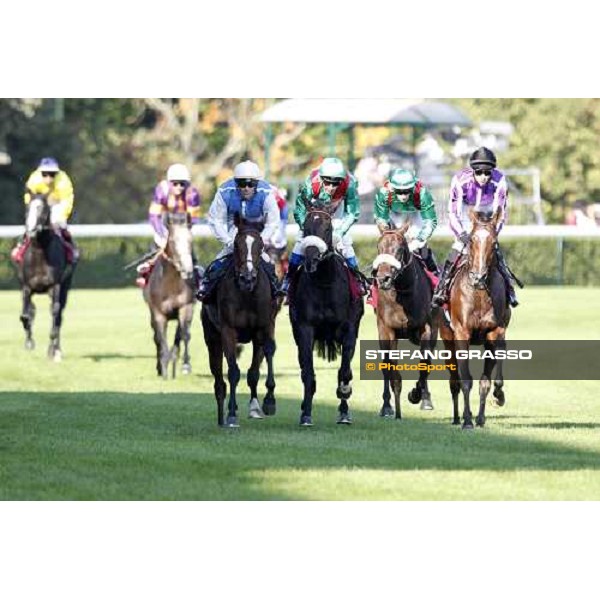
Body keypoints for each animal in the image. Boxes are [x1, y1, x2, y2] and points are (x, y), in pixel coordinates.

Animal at [16, 193, 74, 360]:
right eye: (28, 208)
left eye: (42, 209)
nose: (31, 230)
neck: (39, 252)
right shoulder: (27, 287)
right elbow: (26, 314)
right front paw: (29, 342)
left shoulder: (55, 286)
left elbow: (55, 312)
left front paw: (52, 348)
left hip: (65, 287)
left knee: (59, 315)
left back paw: (56, 349)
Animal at [142, 213, 195, 378]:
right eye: (172, 241)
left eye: (190, 239)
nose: (188, 270)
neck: (170, 286)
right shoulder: (158, 313)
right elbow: (161, 337)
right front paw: (163, 366)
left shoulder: (186, 308)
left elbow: (185, 334)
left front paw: (186, 365)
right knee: (156, 338)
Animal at [200, 218, 278, 428]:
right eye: (236, 244)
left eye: (260, 245)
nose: (247, 277)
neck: (247, 294)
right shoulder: (228, 330)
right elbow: (233, 371)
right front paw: (232, 414)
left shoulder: (264, 326)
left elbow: (260, 363)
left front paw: (267, 403)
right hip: (212, 339)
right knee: (219, 381)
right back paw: (222, 417)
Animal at [370, 223, 436, 420]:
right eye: (379, 247)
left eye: (399, 249)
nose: (383, 279)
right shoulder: (387, 330)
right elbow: (392, 370)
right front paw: (395, 409)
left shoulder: (426, 328)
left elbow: (425, 364)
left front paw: (416, 394)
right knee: (385, 367)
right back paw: (386, 406)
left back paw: (425, 398)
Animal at [440, 209, 510, 428]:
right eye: (471, 240)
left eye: (494, 242)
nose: (478, 277)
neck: (479, 294)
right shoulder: (462, 333)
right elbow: (465, 380)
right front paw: (467, 421)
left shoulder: (495, 331)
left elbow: (488, 381)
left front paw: (497, 397)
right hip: (448, 340)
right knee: (454, 380)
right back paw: (458, 417)